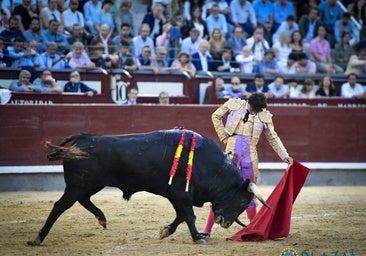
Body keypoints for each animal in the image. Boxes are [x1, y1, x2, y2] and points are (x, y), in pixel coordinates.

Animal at [27, 129, 254, 245]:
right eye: (242, 201)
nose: (225, 223)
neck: (208, 164)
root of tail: (83, 138)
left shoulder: (175, 195)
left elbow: (180, 216)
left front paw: (165, 231)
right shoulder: (181, 194)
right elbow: (189, 216)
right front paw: (198, 238)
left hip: (89, 185)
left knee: (83, 200)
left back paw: (102, 218)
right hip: (78, 185)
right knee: (59, 206)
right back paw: (38, 238)